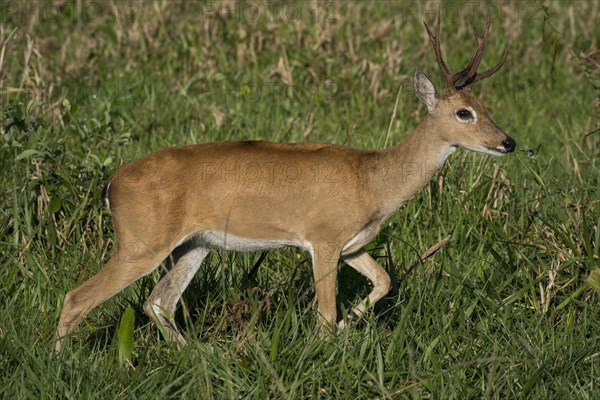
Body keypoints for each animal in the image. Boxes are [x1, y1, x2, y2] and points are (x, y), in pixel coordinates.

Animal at [55, 17, 516, 352]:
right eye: (463, 112)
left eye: (485, 105)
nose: (508, 142)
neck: (373, 179)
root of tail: (111, 184)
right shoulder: (324, 238)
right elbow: (326, 313)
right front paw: (324, 347)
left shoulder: (353, 244)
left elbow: (384, 281)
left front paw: (342, 331)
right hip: (141, 242)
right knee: (78, 297)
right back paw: (60, 364)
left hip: (193, 245)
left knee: (157, 302)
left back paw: (201, 357)